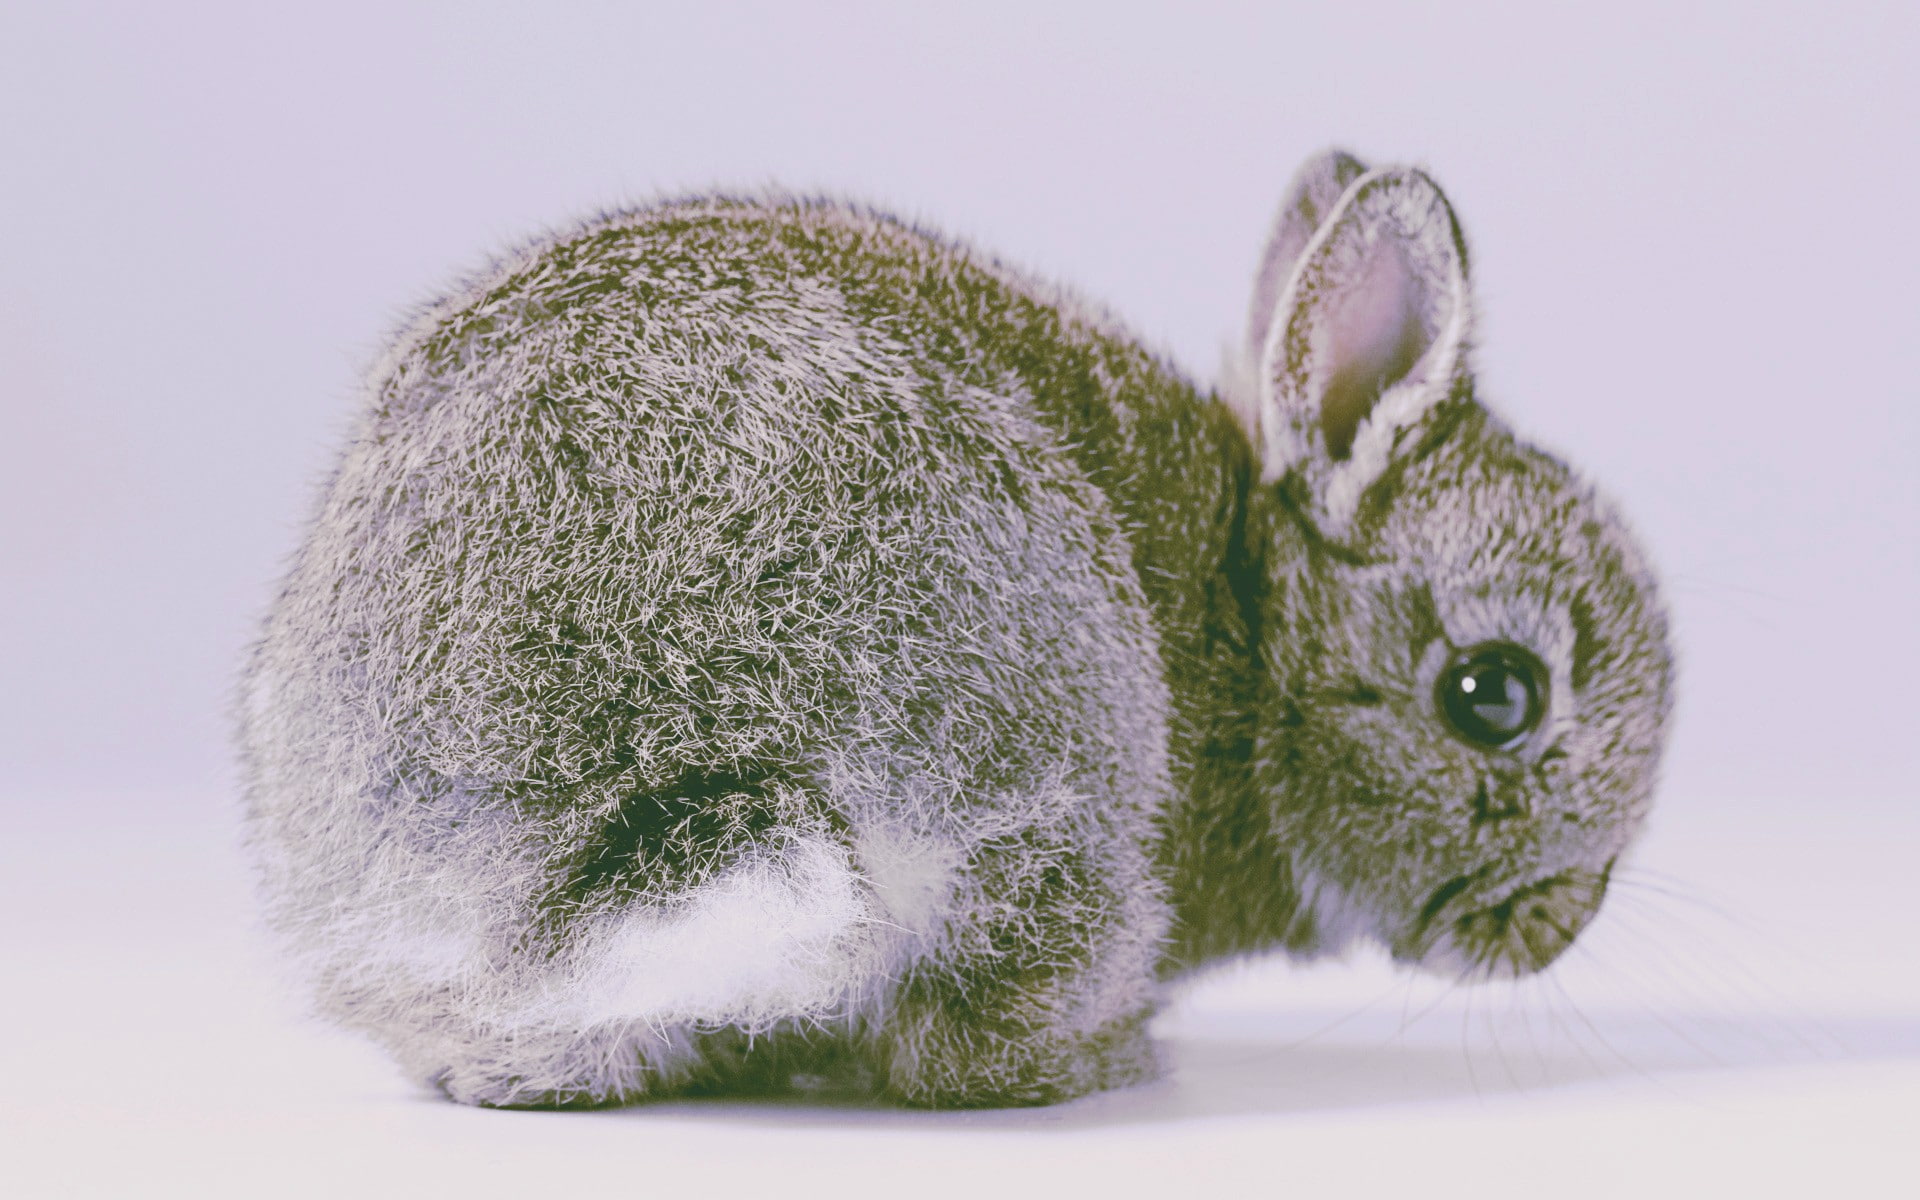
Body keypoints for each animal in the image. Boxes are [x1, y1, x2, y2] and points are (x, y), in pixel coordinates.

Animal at [238, 149, 1674, 1109]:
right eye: (1495, 695)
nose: (1562, 926)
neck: (1260, 638)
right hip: (1047, 756)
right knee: (966, 1043)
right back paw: (1110, 1055)